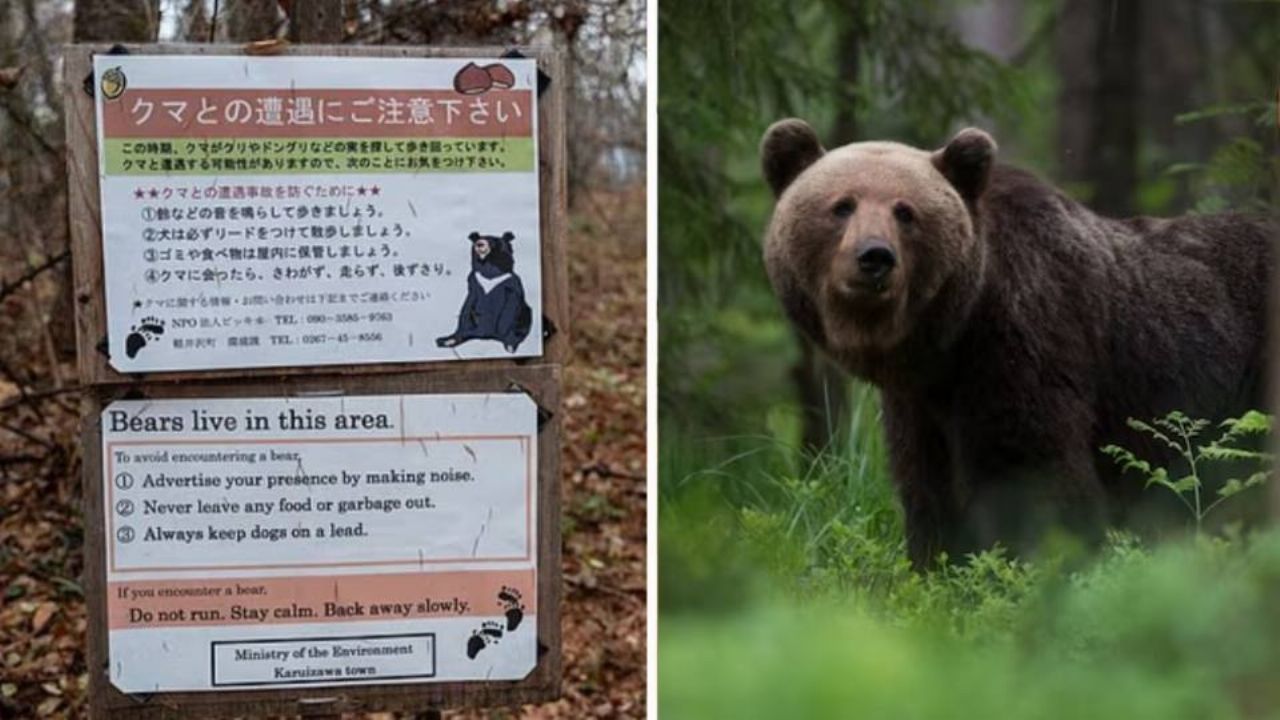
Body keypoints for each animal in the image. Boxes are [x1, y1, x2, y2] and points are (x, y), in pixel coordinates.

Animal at [760, 118, 1276, 569]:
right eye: (842, 205)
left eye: (906, 211)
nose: (875, 257)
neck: (950, 338)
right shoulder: (920, 404)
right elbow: (927, 484)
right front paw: (937, 566)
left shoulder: (1023, 340)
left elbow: (1031, 471)